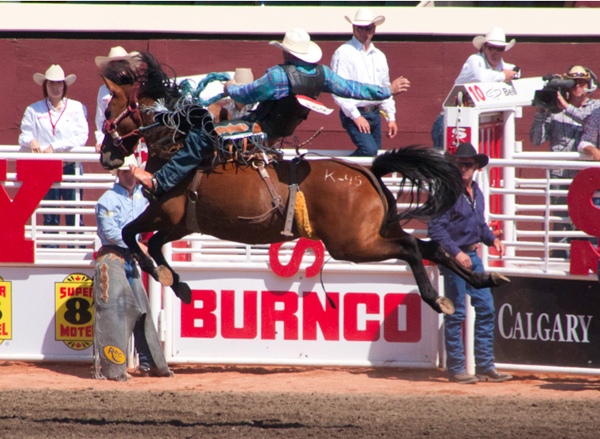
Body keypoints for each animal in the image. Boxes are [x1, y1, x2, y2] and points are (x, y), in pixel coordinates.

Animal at [101, 54, 508, 312]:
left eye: (108, 109)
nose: (107, 156)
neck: (176, 141)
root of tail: (369, 173)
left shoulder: (163, 213)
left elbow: (132, 236)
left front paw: (165, 276)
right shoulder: (180, 224)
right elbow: (153, 245)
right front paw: (179, 284)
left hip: (354, 244)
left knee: (410, 248)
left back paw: (438, 299)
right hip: (377, 231)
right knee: (431, 248)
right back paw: (485, 280)